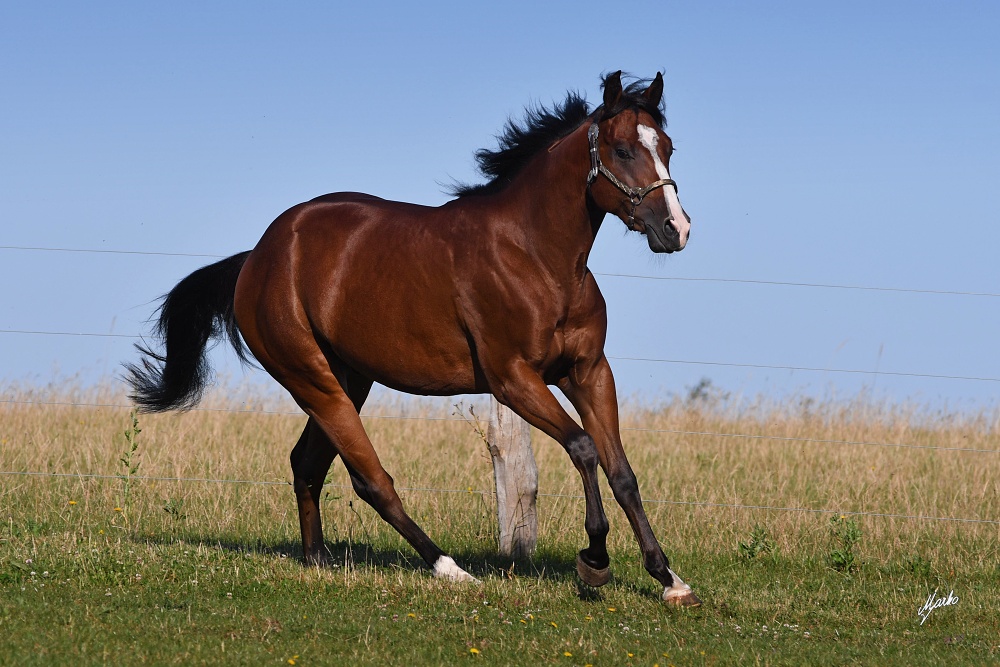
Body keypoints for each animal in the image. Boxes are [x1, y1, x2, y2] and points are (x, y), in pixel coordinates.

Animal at [127, 72, 704, 604]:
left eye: (668, 147)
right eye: (623, 149)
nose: (675, 230)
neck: (536, 257)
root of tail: (257, 257)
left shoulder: (588, 373)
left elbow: (621, 471)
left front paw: (669, 580)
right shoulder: (513, 380)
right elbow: (584, 449)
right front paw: (595, 562)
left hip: (348, 378)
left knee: (307, 464)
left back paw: (318, 560)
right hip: (313, 381)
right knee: (369, 480)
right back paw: (448, 568)